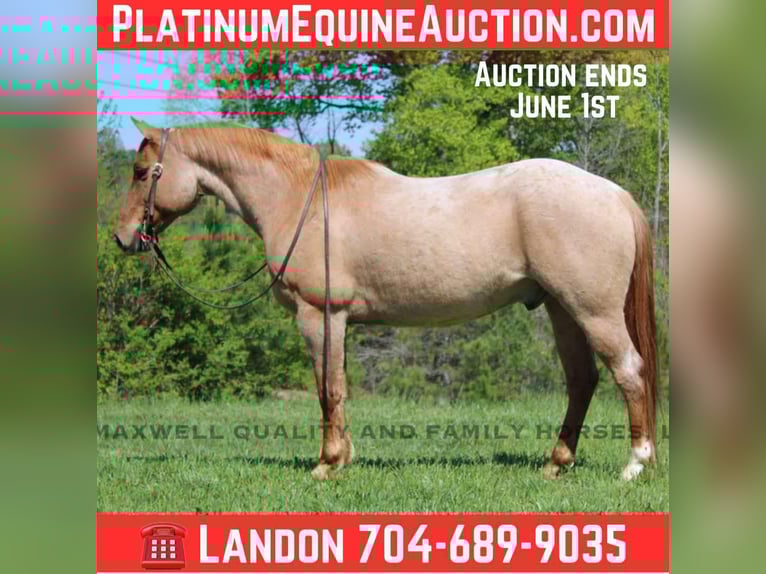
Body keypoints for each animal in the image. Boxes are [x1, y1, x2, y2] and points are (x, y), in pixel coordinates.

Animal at [113, 121, 658, 481]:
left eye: (141, 171)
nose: (123, 237)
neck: (296, 198)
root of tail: (612, 193)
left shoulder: (319, 316)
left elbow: (326, 390)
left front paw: (326, 463)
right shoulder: (338, 321)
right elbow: (340, 387)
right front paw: (344, 457)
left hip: (592, 312)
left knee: (629, 371)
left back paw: (635, 464)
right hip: (562, 309)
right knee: (582, 380)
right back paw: (555, 464)